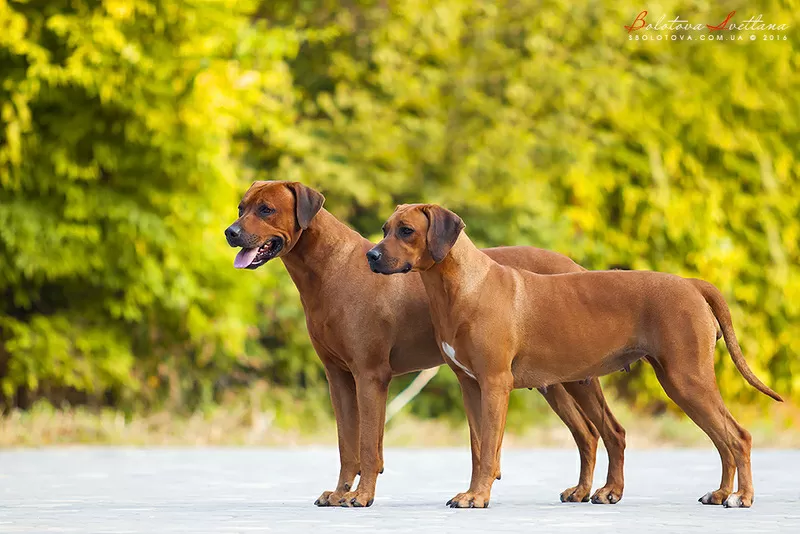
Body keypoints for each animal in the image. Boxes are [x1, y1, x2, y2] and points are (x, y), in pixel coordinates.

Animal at [222, 184, 628, 510]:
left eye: (266, 209)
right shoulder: (338, 378)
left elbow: (367, 446)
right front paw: (339, 493)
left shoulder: (370, 375)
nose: (230, 232)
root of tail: (576, 266)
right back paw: (583, 491)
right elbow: (346, 445)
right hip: (553, 379)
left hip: (574, 375)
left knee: (607, 431)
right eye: (241, 207)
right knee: (588, 434)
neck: (331, 268)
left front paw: (361, 496)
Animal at [368, 204, 780, 510]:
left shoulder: (495, 385)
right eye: (385, 228)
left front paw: (479, 497)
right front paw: (472, 492)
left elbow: (489, 450)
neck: (464, 287)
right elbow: (476, 448)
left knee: (737, 436)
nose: (371, 255)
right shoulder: (470, 386)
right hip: (648, 382)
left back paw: (742, 497)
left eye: (406, 230)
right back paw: (715, 492)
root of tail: (691, 283)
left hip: (685, 379)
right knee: (708, 438)